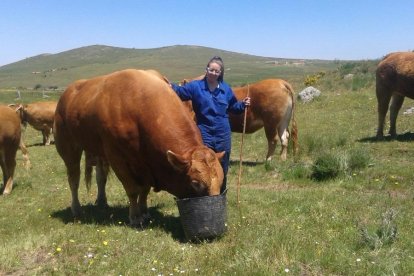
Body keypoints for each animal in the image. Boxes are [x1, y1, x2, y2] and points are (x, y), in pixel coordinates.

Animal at [54, 68, 226, 226]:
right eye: (195, 183)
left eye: (221, 178)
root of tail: (67, 94)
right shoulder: (117, 158)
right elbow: (132, 189)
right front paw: (135, 217)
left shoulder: (146, 164)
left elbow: (144, 189)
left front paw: (144, 212)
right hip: (68, 147)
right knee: (74, 178)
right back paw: (76, 209)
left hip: (98, 152)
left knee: (100, 177)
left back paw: (102, 202)